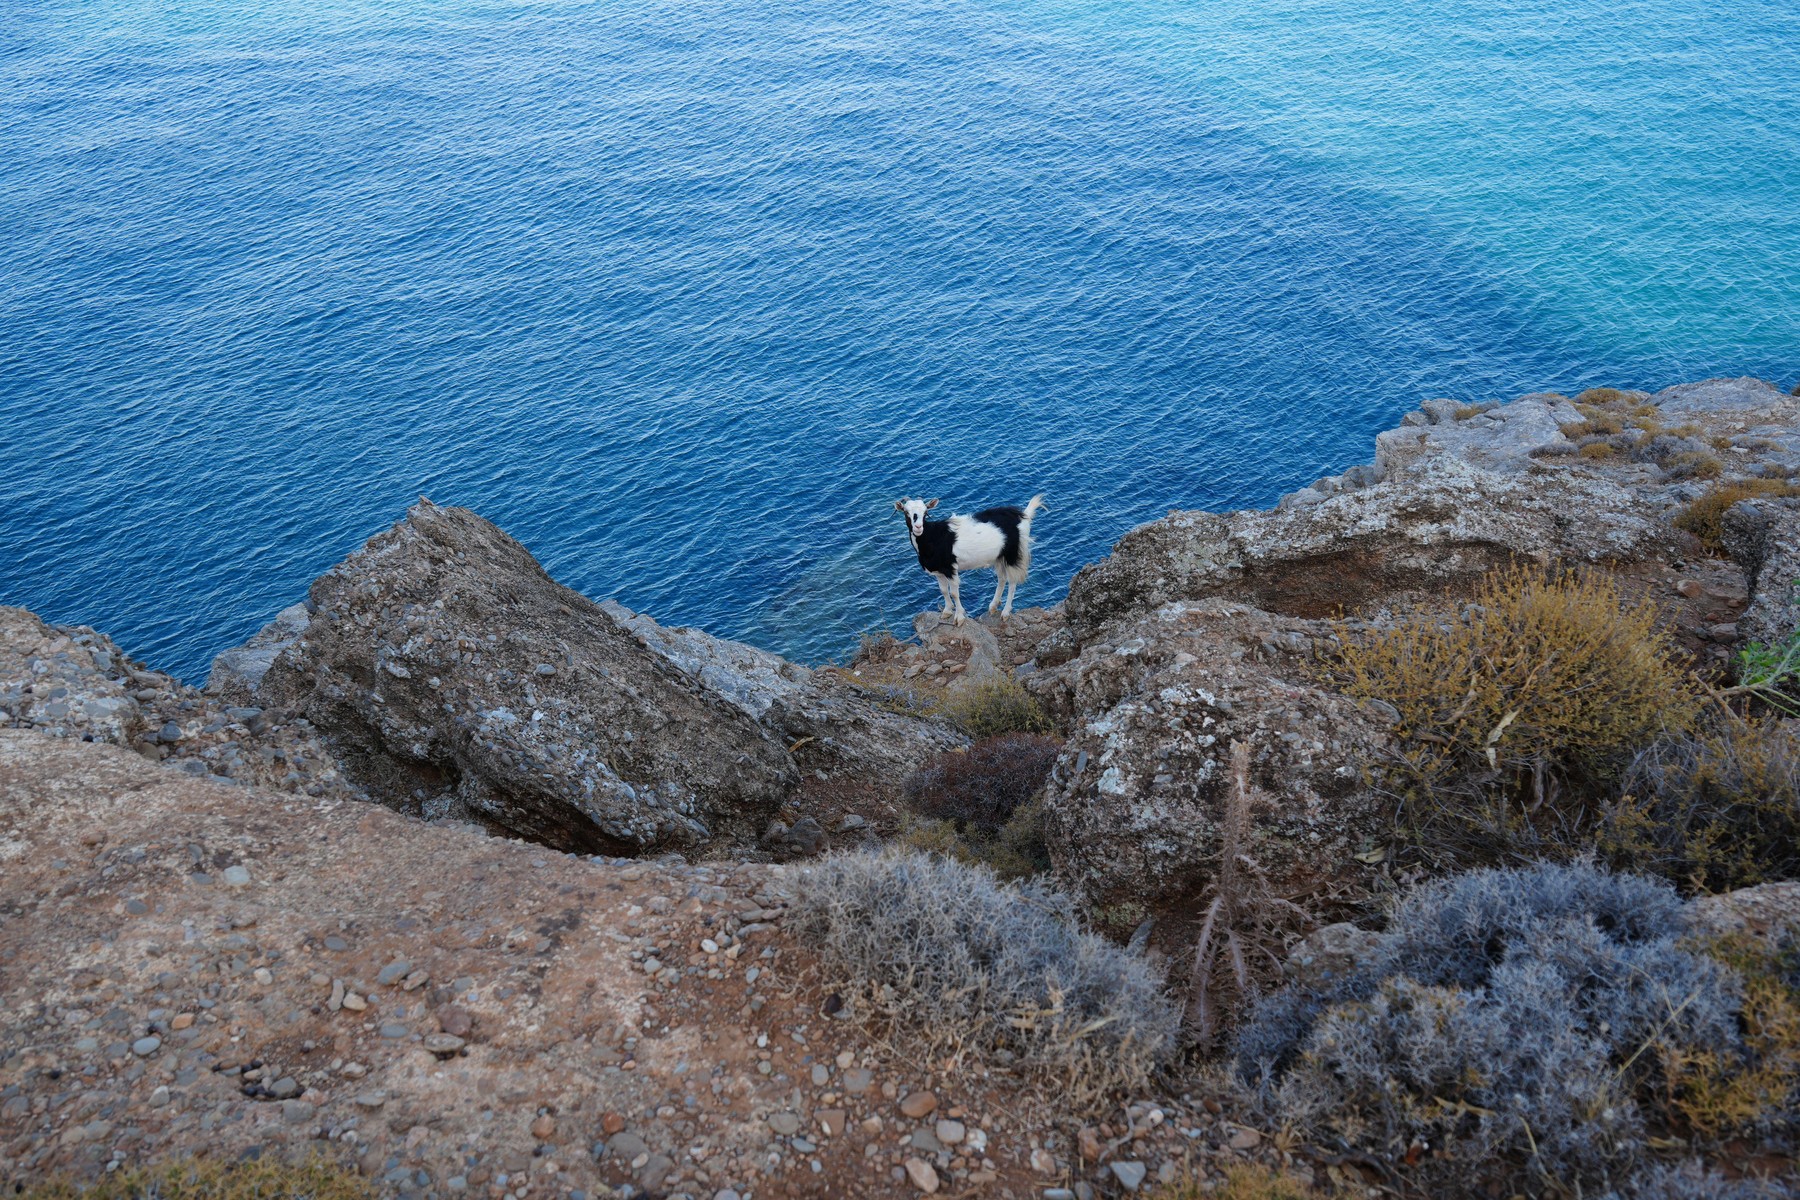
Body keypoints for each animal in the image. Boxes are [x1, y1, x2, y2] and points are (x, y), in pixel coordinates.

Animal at [894, 494, 1046, 623]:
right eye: (906, 512)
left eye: (925, 513)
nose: (918, 527)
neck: (932, 537)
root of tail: (1023, 515)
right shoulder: (939, 571)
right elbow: (943, 590)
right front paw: (946, 611)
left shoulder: (950, 568)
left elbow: (954, 593)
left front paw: (959, 617)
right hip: (999, 556)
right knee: (1002, 579)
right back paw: (993, 606)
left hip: (1012, 554)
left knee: (1012, 581)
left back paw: (1005, 612)